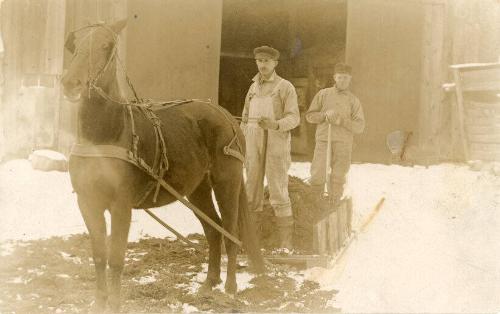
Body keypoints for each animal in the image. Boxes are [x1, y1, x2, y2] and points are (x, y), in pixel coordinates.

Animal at [60, 20, 264, 312]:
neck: (102, 137)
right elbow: (99, 257)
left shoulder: (121, 205)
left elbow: (116, 258)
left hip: (227, 181)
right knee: (213, 229)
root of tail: (227, 116)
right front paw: (99, 303)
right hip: (197, 189)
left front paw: (115, 304)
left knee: (230, 232)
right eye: (75, 45)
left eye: (105, 45)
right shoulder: (88, 203)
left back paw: (230, 288)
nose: (71, 83)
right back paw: (209, 283)